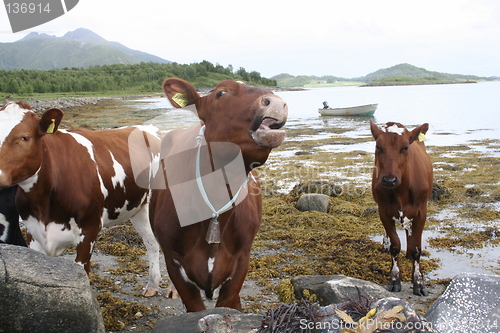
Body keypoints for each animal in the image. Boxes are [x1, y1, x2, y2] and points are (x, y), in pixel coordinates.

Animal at [0, 100, 161, 296]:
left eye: (24, 137)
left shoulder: (90, 229)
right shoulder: (33, 233)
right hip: (140, 208)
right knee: (151, 241)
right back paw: (152, 285)